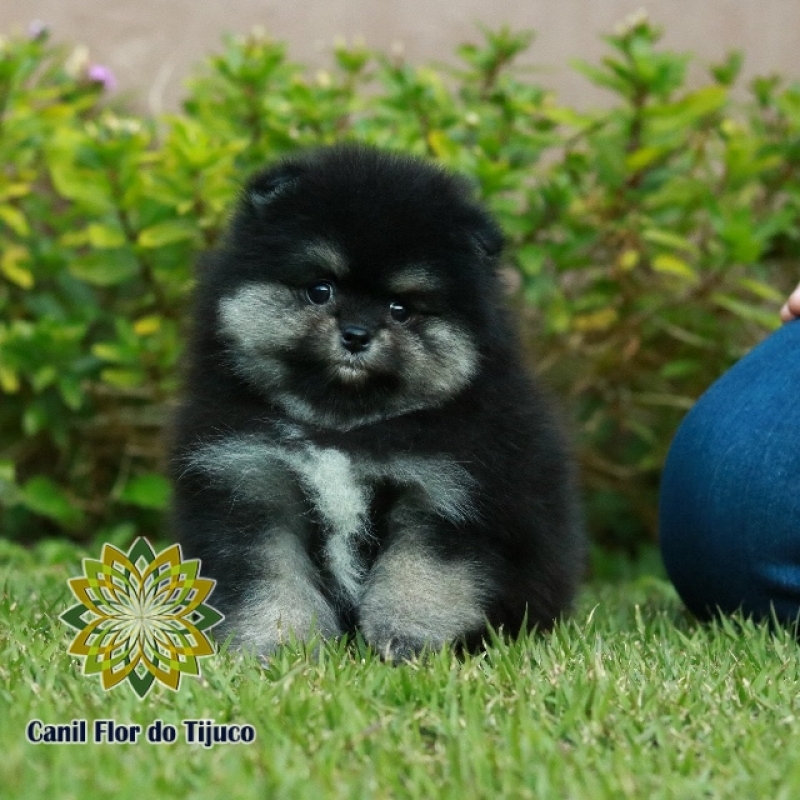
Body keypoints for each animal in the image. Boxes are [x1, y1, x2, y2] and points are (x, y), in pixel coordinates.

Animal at [172, 144, 584, 664]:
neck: (343, 430)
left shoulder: (448, 493)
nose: (356, 334)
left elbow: (419, 579)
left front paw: (406, 644)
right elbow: (269, 581)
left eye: (401, 309)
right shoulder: (251, 485)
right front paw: (278, 648)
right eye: (320, 289)